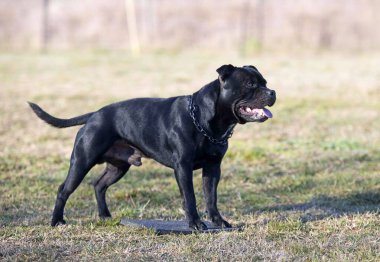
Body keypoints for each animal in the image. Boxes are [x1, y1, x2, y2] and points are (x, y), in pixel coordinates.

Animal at [28, 65, 274, 229]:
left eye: (265, 82)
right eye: (251, 84)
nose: (273, 92)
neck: (207, 120)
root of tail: (95, 114)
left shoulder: (213, 168)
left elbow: (211, 197)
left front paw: (219, 222)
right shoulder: (183, 168)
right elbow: (190, 198)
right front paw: (195, 224)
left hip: (118, 167)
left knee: (99, 185)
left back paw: (105, 216)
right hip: (82, 161)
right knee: (64, 190)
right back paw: (57, 221)